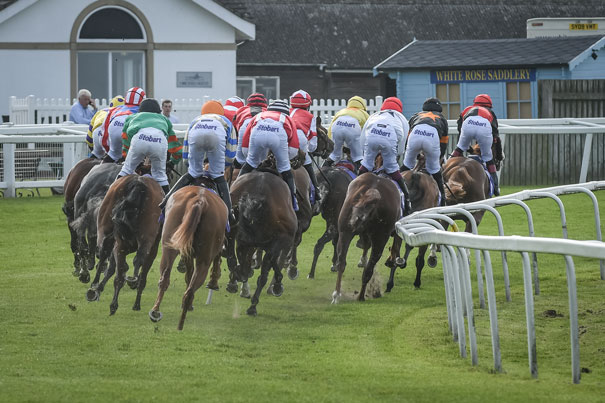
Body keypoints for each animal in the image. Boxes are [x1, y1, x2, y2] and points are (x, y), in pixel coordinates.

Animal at [149, 186, 226, 332]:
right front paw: (214, 281)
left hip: (169, 246)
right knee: (190, 289)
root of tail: (199, 201)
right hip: (203, 258)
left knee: (166, 278)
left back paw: (156, 312)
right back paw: (181, 321)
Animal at [224, 170, 298, 316]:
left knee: (236, 260)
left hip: (240, 238)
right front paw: (277, 285)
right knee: (259, 272)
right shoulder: (280, 241)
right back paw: (252, 304)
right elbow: (268, 269)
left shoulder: (249, 242)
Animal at [330, 172, 402, 304]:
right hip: (380, 239)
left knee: (341, 262)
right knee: (369, 269)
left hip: (344, 233)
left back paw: (336, 295)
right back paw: (361, 296)